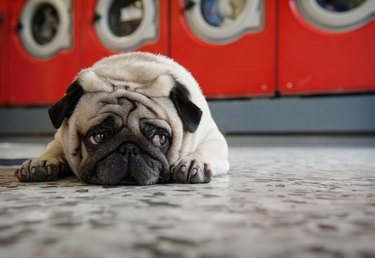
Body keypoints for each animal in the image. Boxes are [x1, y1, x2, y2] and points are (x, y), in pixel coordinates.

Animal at [14, 52, 229, 185]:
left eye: (160, 138)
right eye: (98, 137)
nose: (128, 148)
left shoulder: (212, 137)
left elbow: (207, 148)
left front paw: (194, 162)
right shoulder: (61, 138)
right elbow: (54, 148)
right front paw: (41, 162)